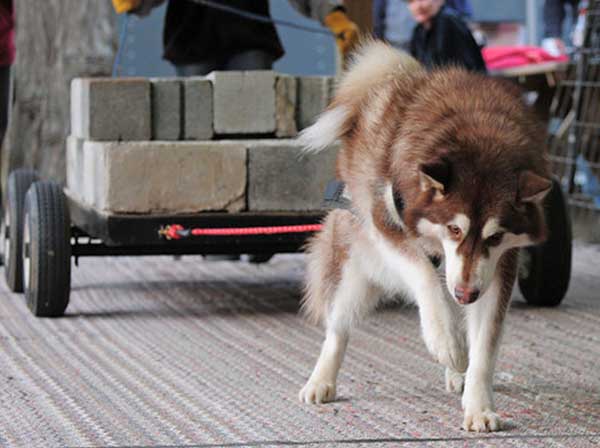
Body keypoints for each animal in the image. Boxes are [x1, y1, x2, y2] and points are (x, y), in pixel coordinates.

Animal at [298, 42, 552, 430]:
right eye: (454, 228)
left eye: (495, 237)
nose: (466, 294)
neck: (477, 128)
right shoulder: (386, 227)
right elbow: (423, 278)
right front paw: (444, 339)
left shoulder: (496, 268)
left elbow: (485, 343)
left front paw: (478, 403)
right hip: (354, 268)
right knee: (338, 325)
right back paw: (321, 379)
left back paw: (457, 370)